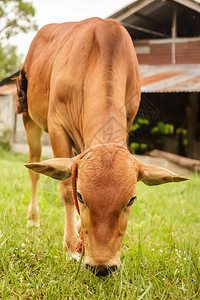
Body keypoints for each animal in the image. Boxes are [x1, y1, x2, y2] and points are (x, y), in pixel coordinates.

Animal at [16, 17, 188, 276]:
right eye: (80, 195)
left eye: (131, 200)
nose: (102, 266)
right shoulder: (57, 127)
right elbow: (64, 188)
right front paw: (71, 247)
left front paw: (79, 235)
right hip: (29, 118)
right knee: (33, 171)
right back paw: (33, 219)